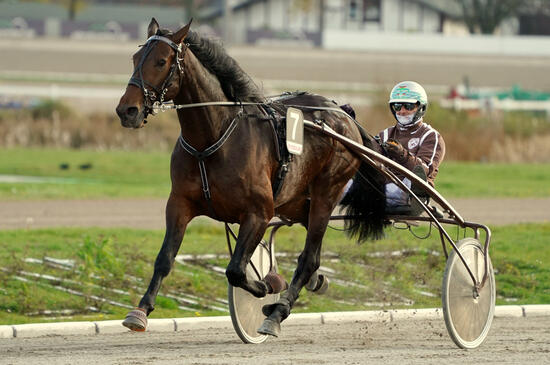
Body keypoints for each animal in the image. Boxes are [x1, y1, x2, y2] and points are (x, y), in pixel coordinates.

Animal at [115, 19, 386, 338]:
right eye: (135, 59)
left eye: (161, 61)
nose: (127, 110)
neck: (214, 138)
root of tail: (343, 114)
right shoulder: (179, 204)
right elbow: (164, 259)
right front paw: (140, 311)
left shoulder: (258, 212)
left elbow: (235, 270)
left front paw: (268, 284)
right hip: (295, 199)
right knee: (312, 248)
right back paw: (314, 281)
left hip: (326, 190)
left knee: (308, 256)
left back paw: (277, 313)